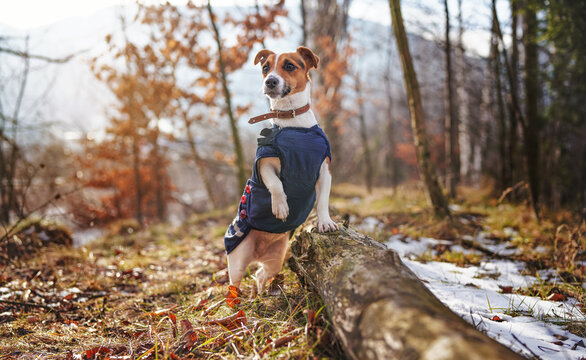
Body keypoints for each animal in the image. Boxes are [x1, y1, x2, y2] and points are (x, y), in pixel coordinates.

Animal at [221, 46, 336, 296]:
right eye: (265, 68)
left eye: (290, 66)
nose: (270, 81)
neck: (294, 123)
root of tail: (258, 251)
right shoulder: (265, 163)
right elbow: (276, 184)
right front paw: (281, 206)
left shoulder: (324, 170)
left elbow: (323, 200)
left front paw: (325, 222)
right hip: (238, 258)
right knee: (234, 283)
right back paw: (237, 302)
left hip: (276, 257)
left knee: (261, 273)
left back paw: (262, 292)